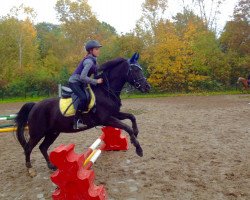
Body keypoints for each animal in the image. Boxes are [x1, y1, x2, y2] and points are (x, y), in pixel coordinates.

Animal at [15, 53, 150, 172]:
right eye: (135, 70)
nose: (147, 87)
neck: (106, 90)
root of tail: (35, 105)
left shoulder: (115, 114)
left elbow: (132, 117)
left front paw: (136, 134)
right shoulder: (106, 119)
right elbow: (127, 127)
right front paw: (138, 149)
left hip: (52, 132)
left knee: (42, 147)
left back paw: (51, 166)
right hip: (37, 133)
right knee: (28, 147)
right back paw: (30, 168)